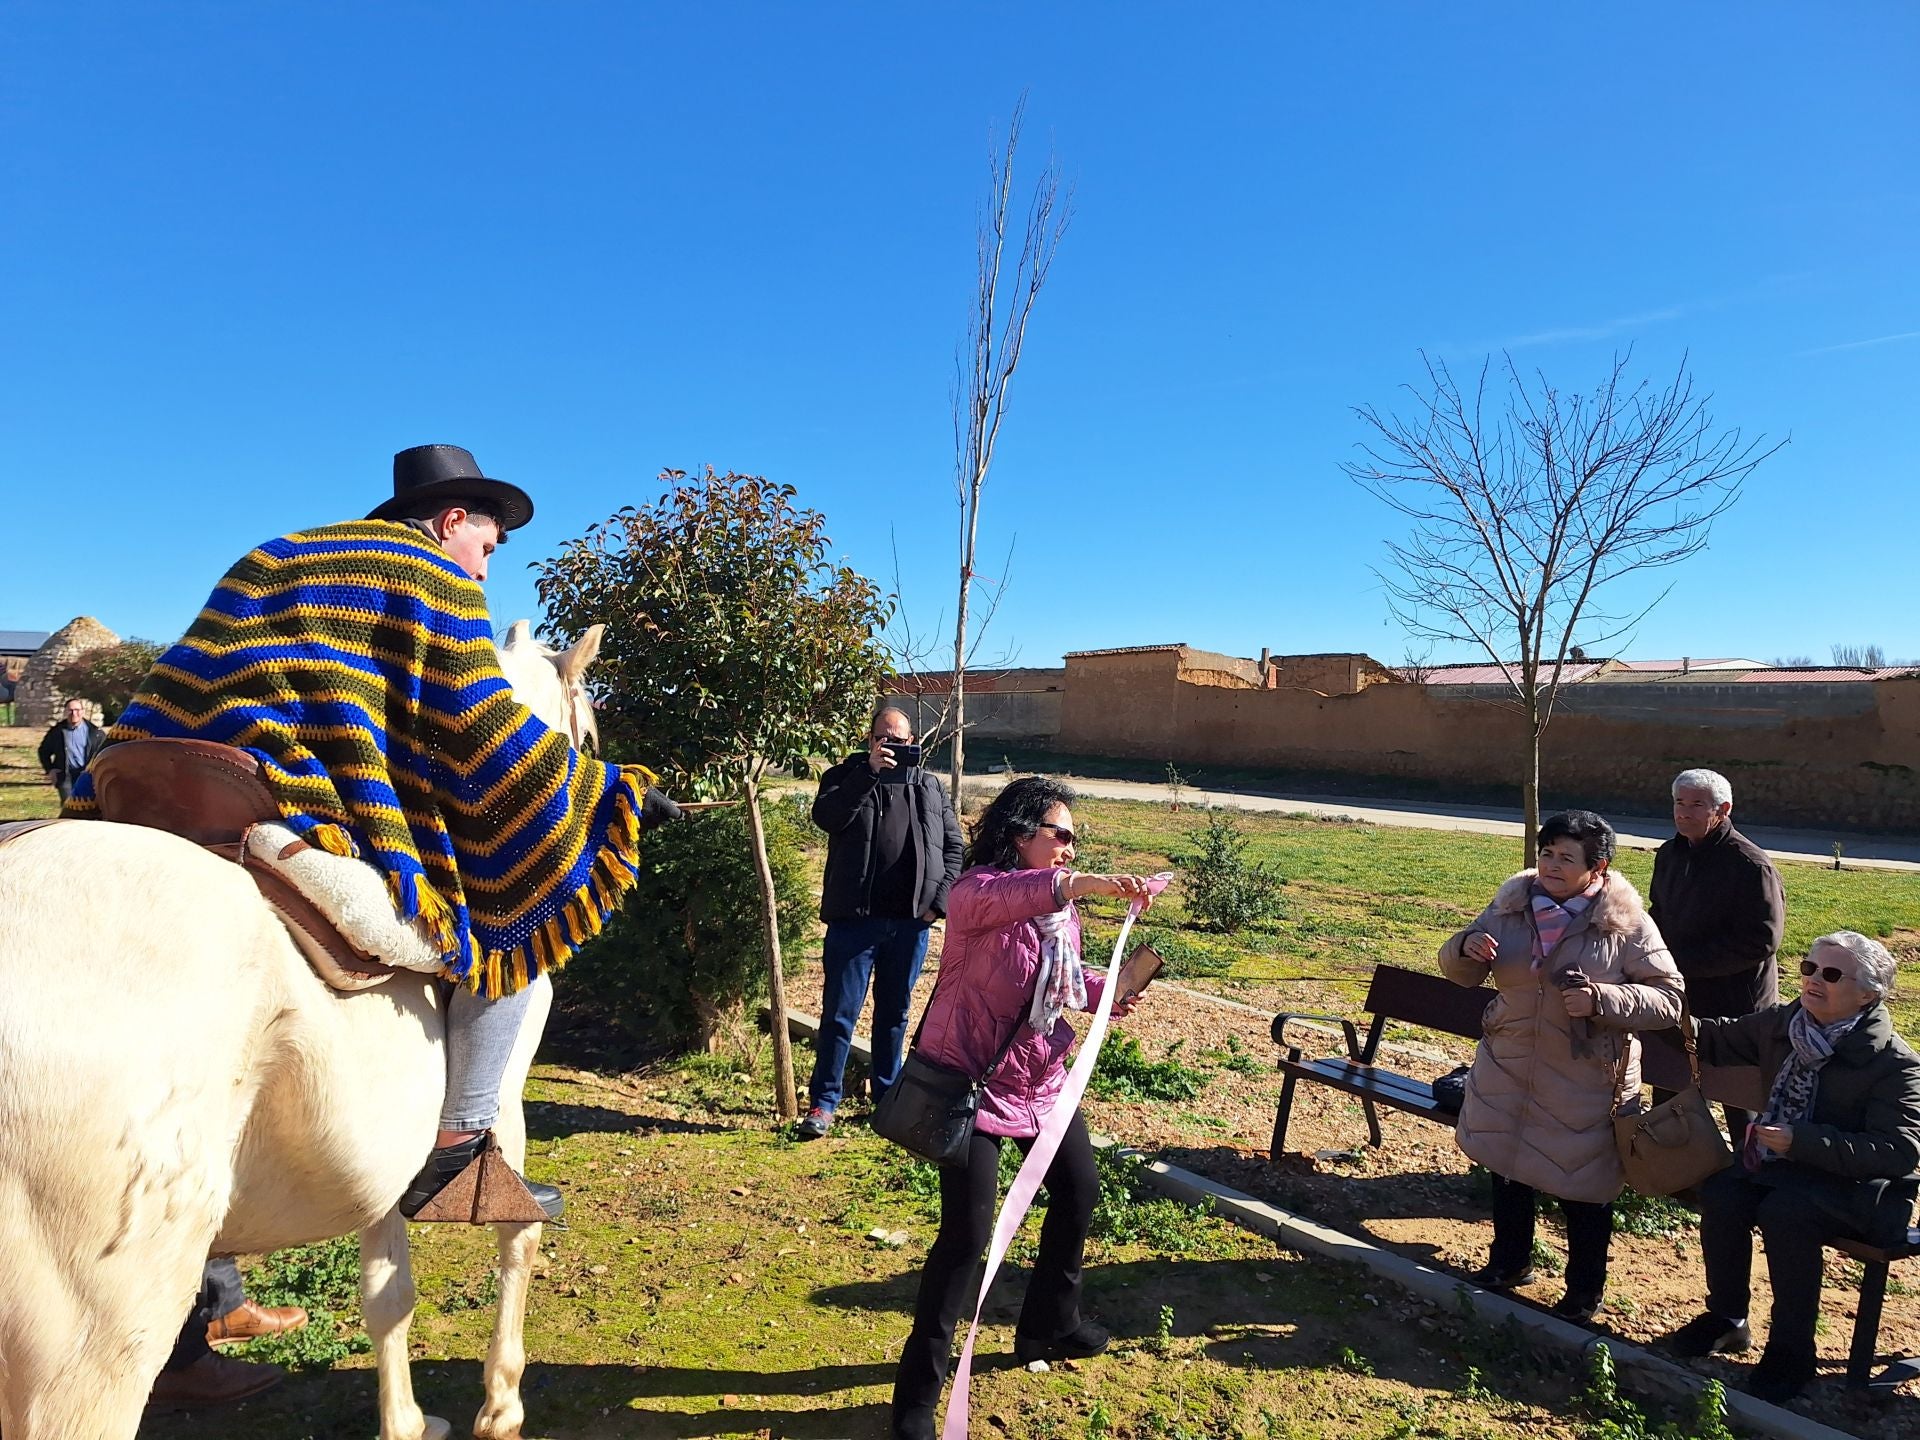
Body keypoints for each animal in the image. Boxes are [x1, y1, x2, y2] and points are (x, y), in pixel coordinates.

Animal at [0, 622, 606, 1440]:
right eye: (590, 732)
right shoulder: (499, 1111)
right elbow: (518, 1235)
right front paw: (501, 1405)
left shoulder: (385, 1164)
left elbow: (387, 1296)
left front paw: (407, 1422)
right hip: (94, 1351)